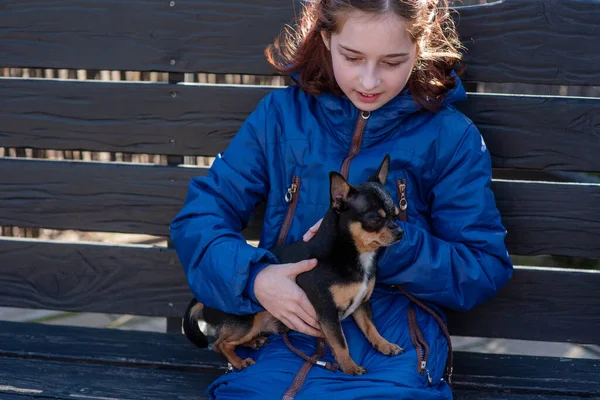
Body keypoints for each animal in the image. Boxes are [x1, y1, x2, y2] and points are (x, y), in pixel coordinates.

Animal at [184, 154, 404, 376]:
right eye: (375, 220)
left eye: (396, 215)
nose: (400, 232)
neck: (356, 254)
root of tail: (201, 298)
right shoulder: (328, 313)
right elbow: (341, 342)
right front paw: (350, 366)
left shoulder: (361, 305)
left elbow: (370, 327)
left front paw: (384, 344)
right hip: (246, 321)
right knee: (220, 344)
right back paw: (239, 361)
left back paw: (254, 342)